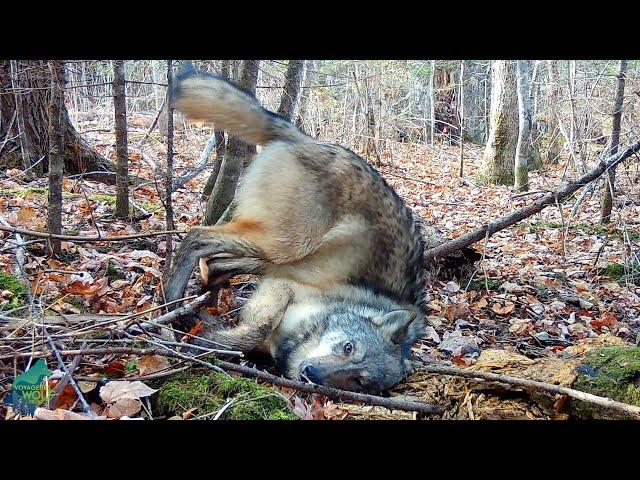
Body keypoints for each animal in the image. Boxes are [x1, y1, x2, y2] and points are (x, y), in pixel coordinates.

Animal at [162, 62, 428, 394]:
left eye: (358, 381)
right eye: (348, 347)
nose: (311, 374)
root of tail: (305, 138)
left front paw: (210, 330)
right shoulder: (282, 286)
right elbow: (255, 329)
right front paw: (209, 340)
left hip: (271, 256)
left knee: (216, 263)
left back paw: (201, 301)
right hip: (284, 246)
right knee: (197, 236)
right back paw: (171, 301)